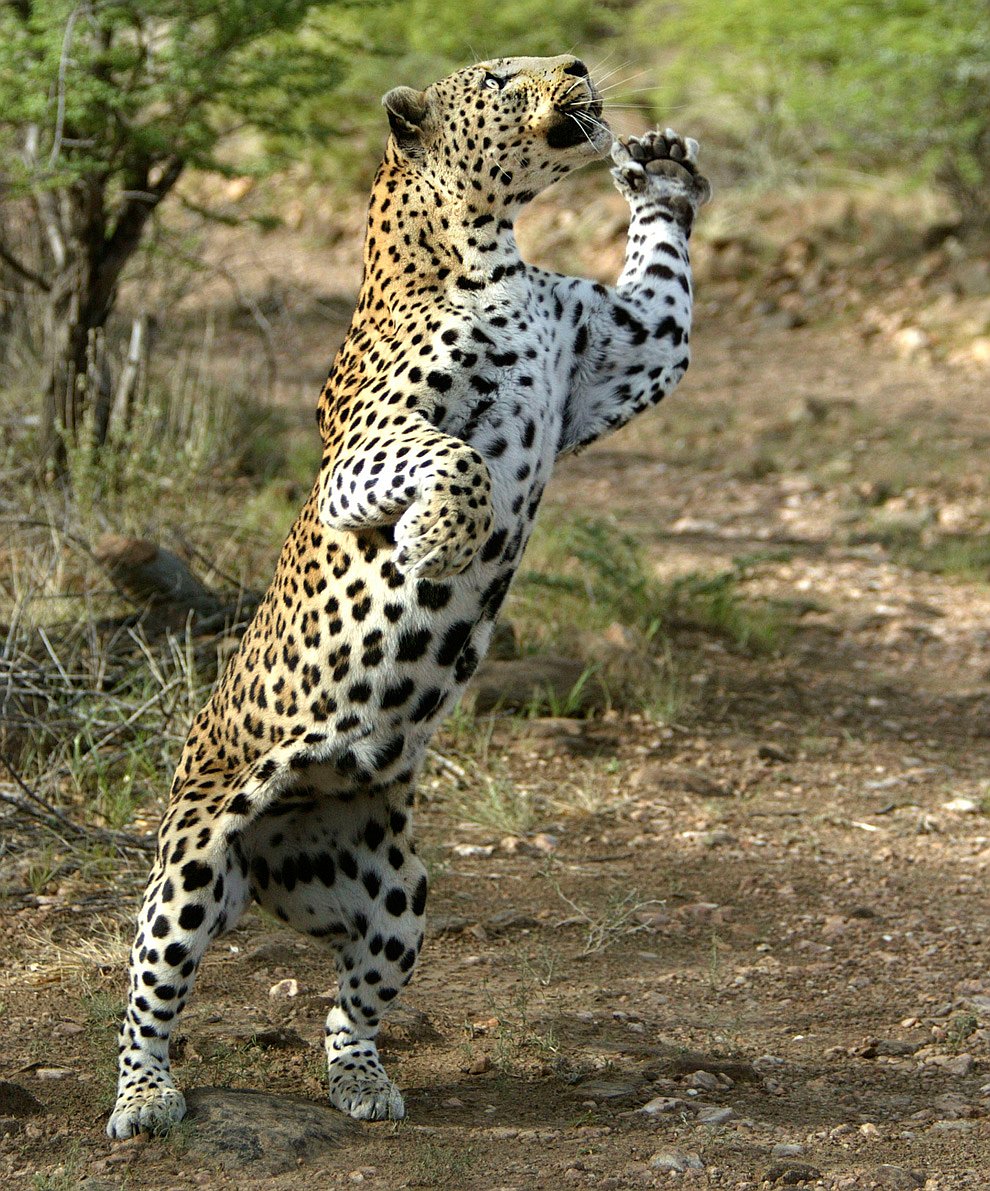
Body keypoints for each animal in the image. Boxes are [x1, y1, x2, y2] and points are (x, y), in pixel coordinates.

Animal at [106, 53, 714, 1133]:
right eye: (505, 74)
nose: (579, 65)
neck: (493, 248)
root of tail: (272, 869)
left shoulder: (631, 353)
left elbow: (662, 288)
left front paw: (663, 169)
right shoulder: (362, 456)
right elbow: (456, 459)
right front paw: (435, 543)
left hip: (395, 889)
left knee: (348, 1001)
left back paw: (362, 1081)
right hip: (191, 863)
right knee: (149, 986)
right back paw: (145, 1096)